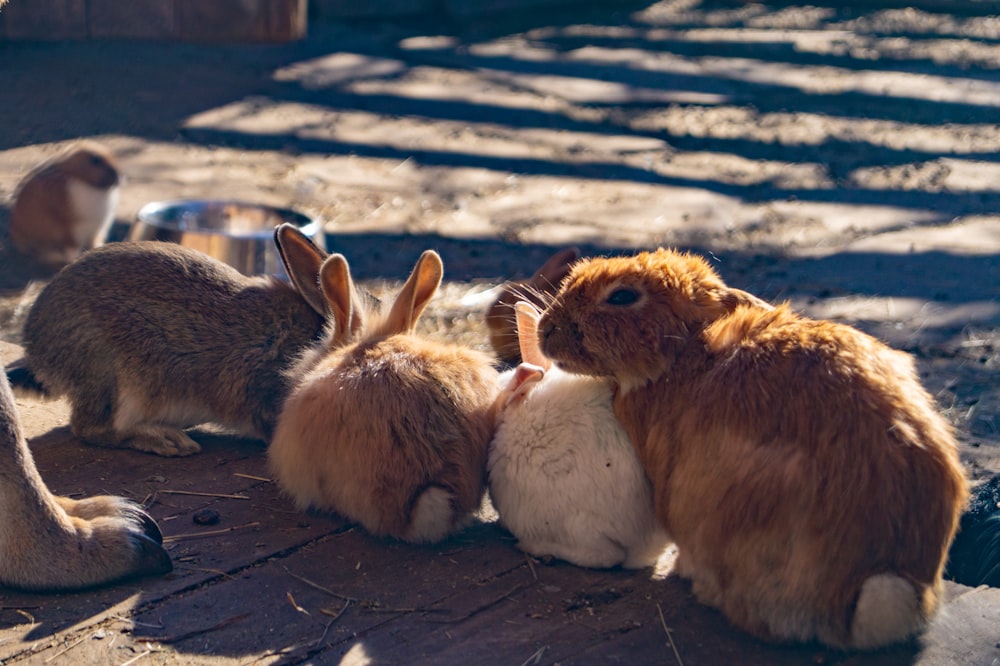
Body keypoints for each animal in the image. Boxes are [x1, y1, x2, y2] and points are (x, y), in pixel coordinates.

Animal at [9, 139, 122, 268]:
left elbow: (95, 243)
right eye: (95, 160)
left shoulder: (98, 229)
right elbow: (72, 249)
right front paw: (75, 260)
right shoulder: (70, 231)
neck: (84, 181)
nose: (119, 176)